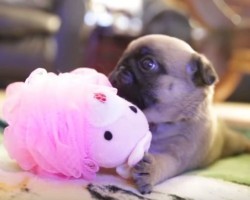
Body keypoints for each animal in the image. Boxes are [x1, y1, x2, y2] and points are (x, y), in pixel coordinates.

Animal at [108, 34, 250, 194]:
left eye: (148, 64)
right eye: (121, 59)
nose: (121, 67)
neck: (160, 122)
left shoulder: (178, 155)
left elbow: (165, 162)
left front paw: (152, 171)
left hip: (234, 142)